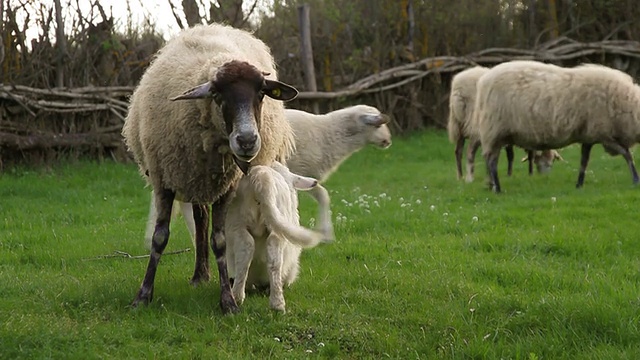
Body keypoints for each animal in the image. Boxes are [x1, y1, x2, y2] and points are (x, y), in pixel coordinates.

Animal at [122, 22, 300, 312]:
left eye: (261, 93)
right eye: (217, 94)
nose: (247, 140)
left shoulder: (227, 187)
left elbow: (220, 241)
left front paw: (228, 300)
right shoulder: (163, 179)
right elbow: (159, 238)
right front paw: (143, 295)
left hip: (204, 180)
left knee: (203, 220)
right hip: (192, 178)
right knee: (199, 220)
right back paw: (199, 275)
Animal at [142, 104, 390, 250]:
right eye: (377, 124)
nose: (388, 141)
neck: (328, 135)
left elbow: (319, 194)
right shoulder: (296, 170)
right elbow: (320, 195)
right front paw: (323, 233)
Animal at [225, 161, 332, 312]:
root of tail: (261, 175)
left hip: (238, 223)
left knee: (245, 252)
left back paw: (238, 297)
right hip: (277, 228)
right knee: (274, 260)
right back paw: (277, 303)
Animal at [476, 60, 640, 193]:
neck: (629, 105)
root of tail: (484, 81)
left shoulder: (589, 135)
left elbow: (584, 161)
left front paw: (579, 184)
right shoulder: (603, 133)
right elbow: (627, 154)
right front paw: (636, 179)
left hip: (497, 133)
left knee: (490, 161)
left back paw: (492, 186)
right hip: (494, 130)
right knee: (492, 162)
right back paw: (497, 188)